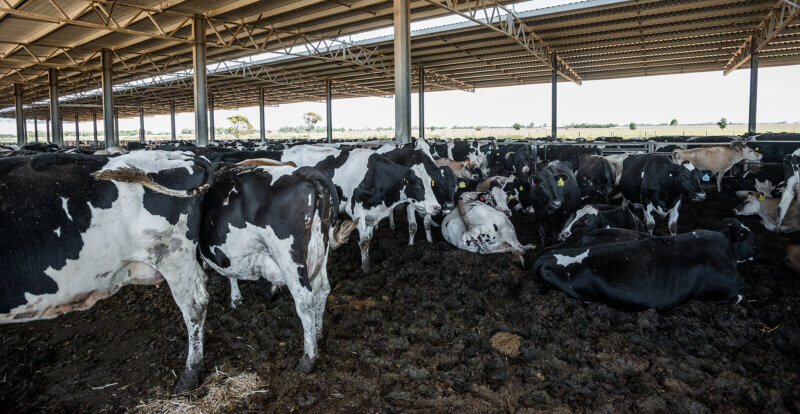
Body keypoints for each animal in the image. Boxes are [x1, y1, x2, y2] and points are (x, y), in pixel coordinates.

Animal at [198, 163, 352, 374]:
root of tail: (303, 173)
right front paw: (236, 298)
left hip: (288, 254)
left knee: (305, 301)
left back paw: (308, 359)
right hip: (322, 246)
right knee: (322, 289)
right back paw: (318, 332)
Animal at [284, 146, 440, 272]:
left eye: (432, 184)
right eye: (418, 185)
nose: (437, 208)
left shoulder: (373, 213)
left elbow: (368, 238)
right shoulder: (355, 210)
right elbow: (363, 241)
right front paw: (365, 269)